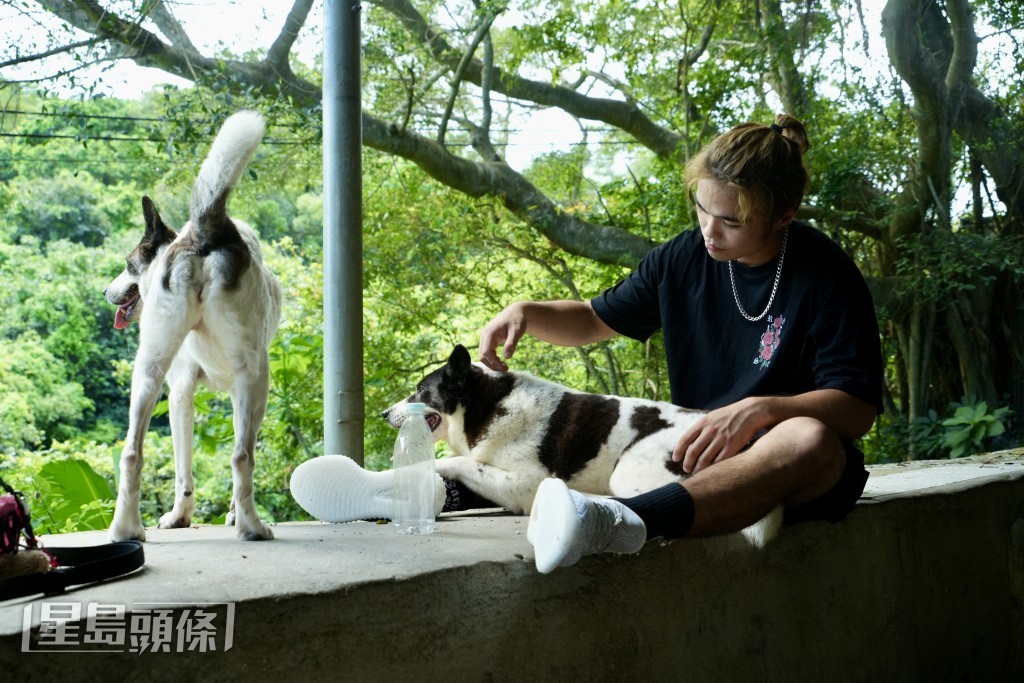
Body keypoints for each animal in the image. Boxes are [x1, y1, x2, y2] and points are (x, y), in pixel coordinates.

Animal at [103, 109, 280, 540]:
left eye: (128, 265)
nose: (105, 292)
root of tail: (204, 229)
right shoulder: (242, 391)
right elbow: (242, 451)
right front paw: (231, 514)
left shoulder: (179, 389)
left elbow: (183, 466)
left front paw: (178, 517)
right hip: (256, 375)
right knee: (241, 456)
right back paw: (251, 526)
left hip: (149, 370)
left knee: (131, 452)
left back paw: (126, 529)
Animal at [385, 344, 782, 548]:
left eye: (420, 391)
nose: (383, 412)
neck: (487, 404)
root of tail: (747, 442)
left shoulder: (525, 483)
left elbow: (461, 463)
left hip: (629, 470)